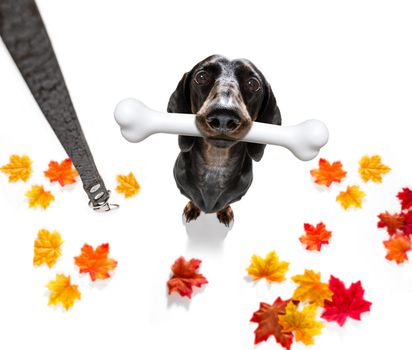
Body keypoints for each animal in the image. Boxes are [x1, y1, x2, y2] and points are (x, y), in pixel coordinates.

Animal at [167, 53, 280, 226]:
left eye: (253, 83)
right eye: (201, 76)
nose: (223, 117)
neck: (215, 166)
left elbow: (225, 204)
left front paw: (224, 211)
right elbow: (193, 200)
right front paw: (192, 208)